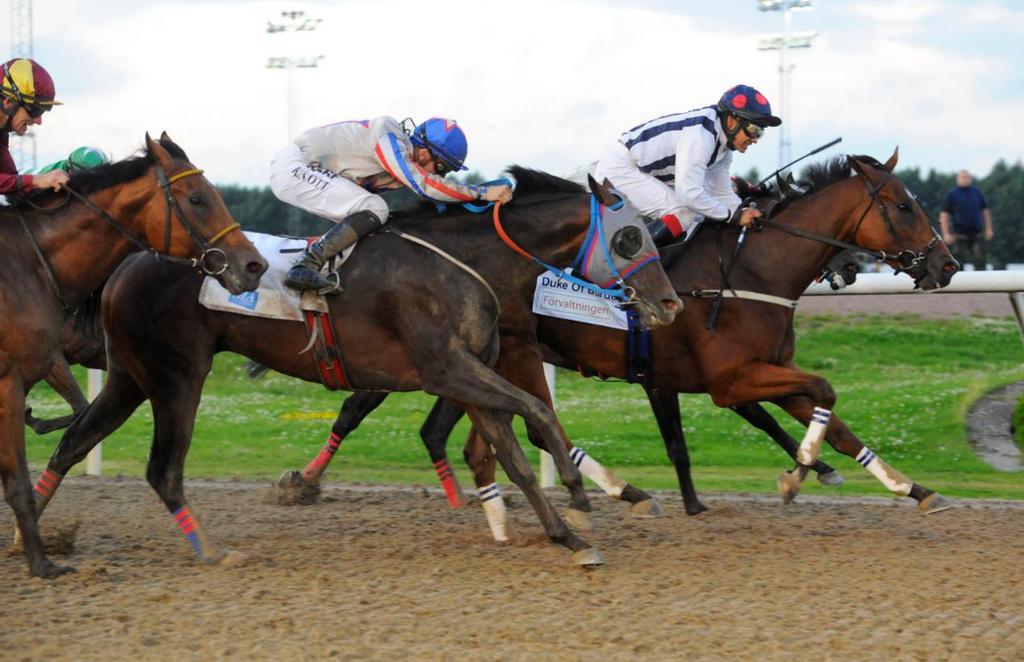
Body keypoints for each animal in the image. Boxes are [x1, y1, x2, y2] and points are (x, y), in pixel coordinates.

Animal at [3, 133, 268, 573]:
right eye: (196, 198)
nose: (253, 265)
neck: (32, 263)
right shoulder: (17, 376)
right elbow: (21, 476)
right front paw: (43, 565)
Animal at [29, 167, 679, 569]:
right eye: (629, 236)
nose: (670, 303)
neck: (464, 262)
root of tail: (129, 260)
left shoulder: (468, 375)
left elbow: (511, 454)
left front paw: (565, 535)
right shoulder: (448, 370)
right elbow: (537, 412)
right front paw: (577, 498)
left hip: (130, 376)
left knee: (74, 442)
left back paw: (30, 534)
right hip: (176, 379)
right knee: (161, 468)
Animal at [292, 152, 954, 536]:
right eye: (903, 206)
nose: (945, 266)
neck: (749, 271)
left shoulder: (740, 374)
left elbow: (831, 420)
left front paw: (912, 488)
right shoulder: (727, 380)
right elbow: (819, 392)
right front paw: (796, 476)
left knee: (467, 431)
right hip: (492, 355)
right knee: (418, 415)